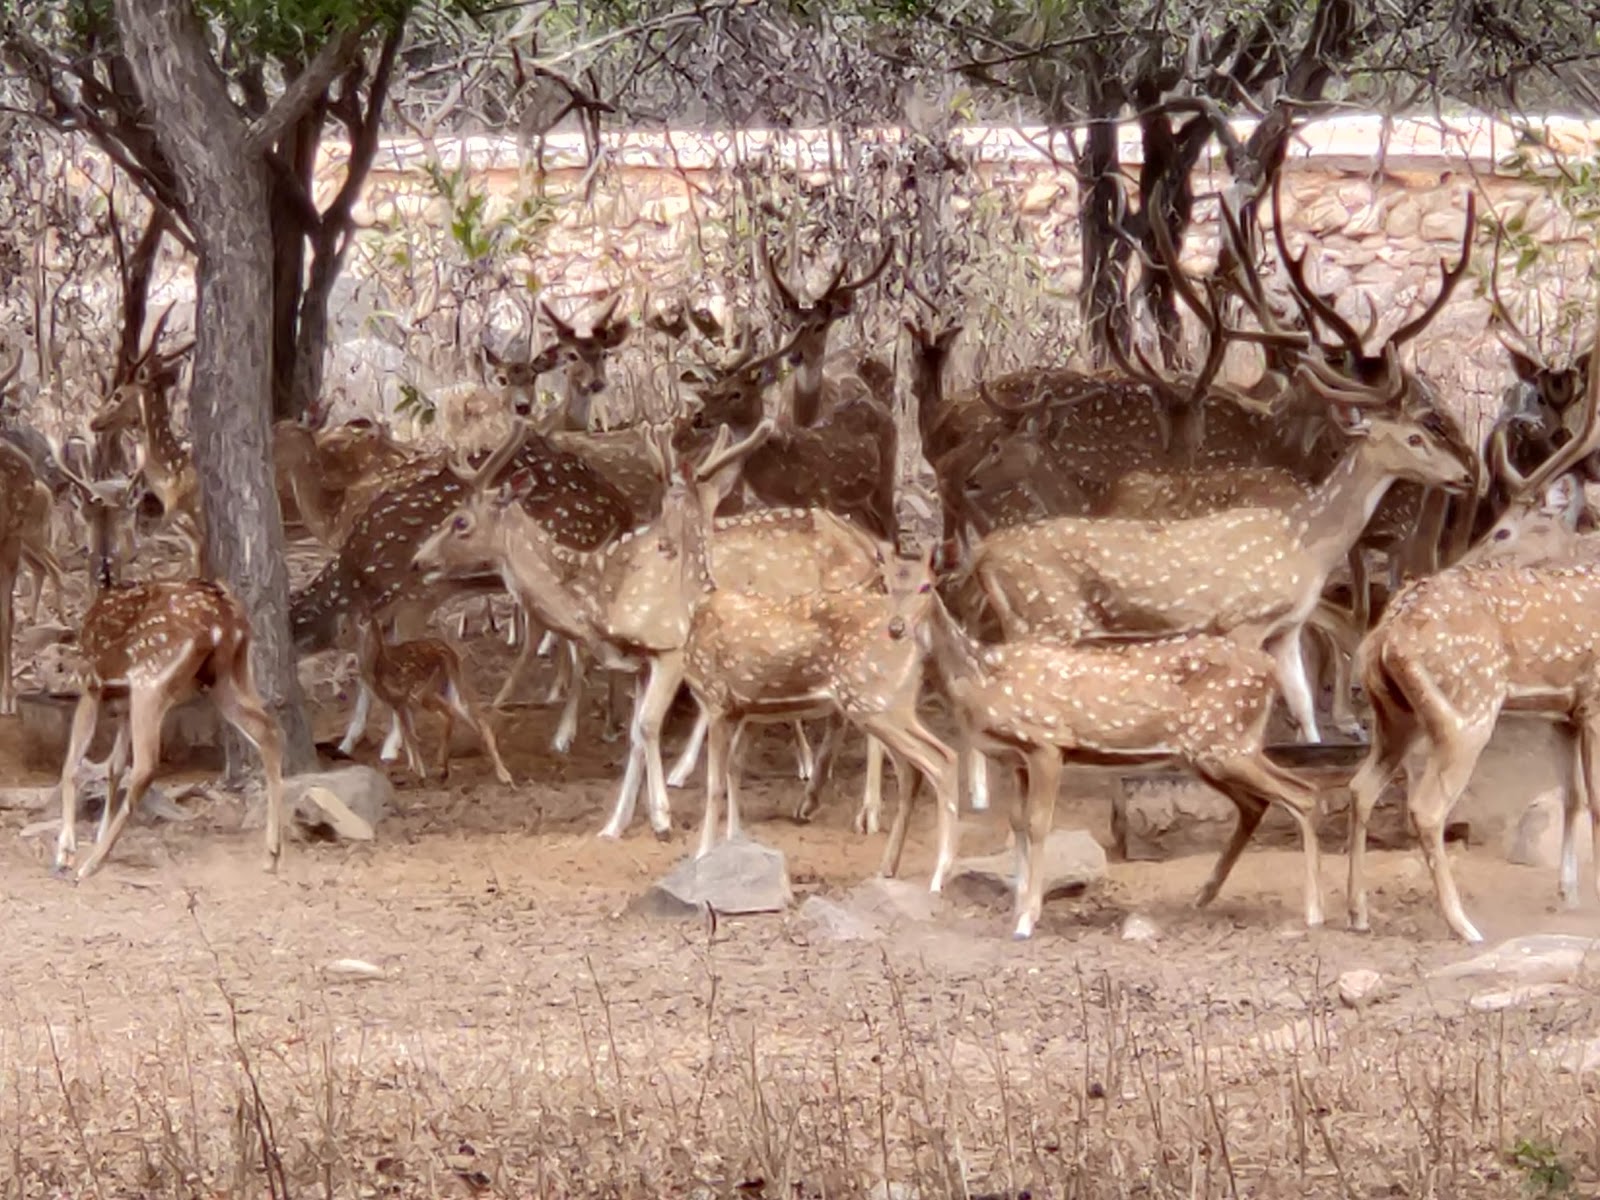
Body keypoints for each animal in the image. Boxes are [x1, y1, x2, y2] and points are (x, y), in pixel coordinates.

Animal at [52, 576, 286, 881]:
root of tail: (223, 622)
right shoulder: (123, 705)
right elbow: (115, 766)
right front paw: (97, 836)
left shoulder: (90, 684)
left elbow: (72, 765)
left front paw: (65, 853)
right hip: (228, 675)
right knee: (268, 731)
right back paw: (271, 855)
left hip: (151, 679)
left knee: (146, 766)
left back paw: (91, 863)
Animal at [350, 612, 512, 785]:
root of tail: (450, 652)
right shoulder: (399, 703)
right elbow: (407, 733)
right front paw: (412, 768)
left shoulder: (399, 698)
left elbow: (410, 735)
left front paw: (419, 773)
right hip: (450, 686)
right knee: (473, 717)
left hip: (429, 690)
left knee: (455, 715)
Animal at [923, 594, 1324, 938]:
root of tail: (1270, 670)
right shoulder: (1017, 759)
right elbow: (1019, 824)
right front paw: (1017, 909)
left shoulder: (1047, 744)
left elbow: (1038, 825)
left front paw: (1026, 921)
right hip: (1209, 754)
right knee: (1259, 803)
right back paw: (1203, 896)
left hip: (1224, 746)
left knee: (1303, 794)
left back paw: (1314, 912)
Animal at [1346, 340, 1600, 942]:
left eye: (1504, 530)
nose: (1466, 558)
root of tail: (1386, 635)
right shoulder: (1596, 698)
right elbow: (1597, 801)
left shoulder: (1565, 711)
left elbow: (1575, 796)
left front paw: (1568, 892)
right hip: (1467, 711)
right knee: (1426, 807)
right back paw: (1463, 924)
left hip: (1396, 716)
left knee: (1359, 788)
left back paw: (1359, 911)